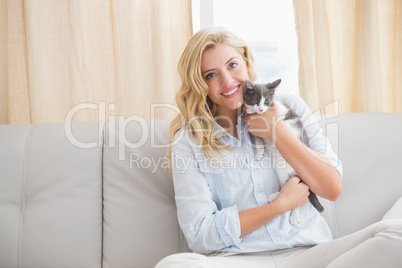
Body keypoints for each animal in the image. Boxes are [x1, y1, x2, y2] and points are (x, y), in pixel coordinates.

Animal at [242, 79, 324, 224]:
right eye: (256, 100)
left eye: (267, 101)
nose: (261, 109)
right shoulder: (255, 129)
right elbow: (258, 139)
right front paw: (260, 152)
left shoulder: (278, 114)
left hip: (291, 169)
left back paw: (293, 215)